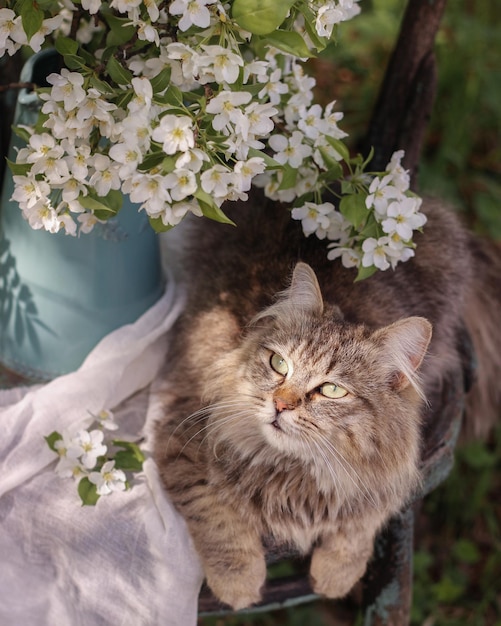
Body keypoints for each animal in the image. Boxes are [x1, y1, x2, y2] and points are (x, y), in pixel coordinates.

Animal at [153, 193, 500, 608]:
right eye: (278, 364)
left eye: (332, 390)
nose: (281, 404)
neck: (296, 473)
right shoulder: (181, 428)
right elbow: (217, 515)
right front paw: (239, 583)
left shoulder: (393, 476)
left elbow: (362, 522)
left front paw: (337, 575)